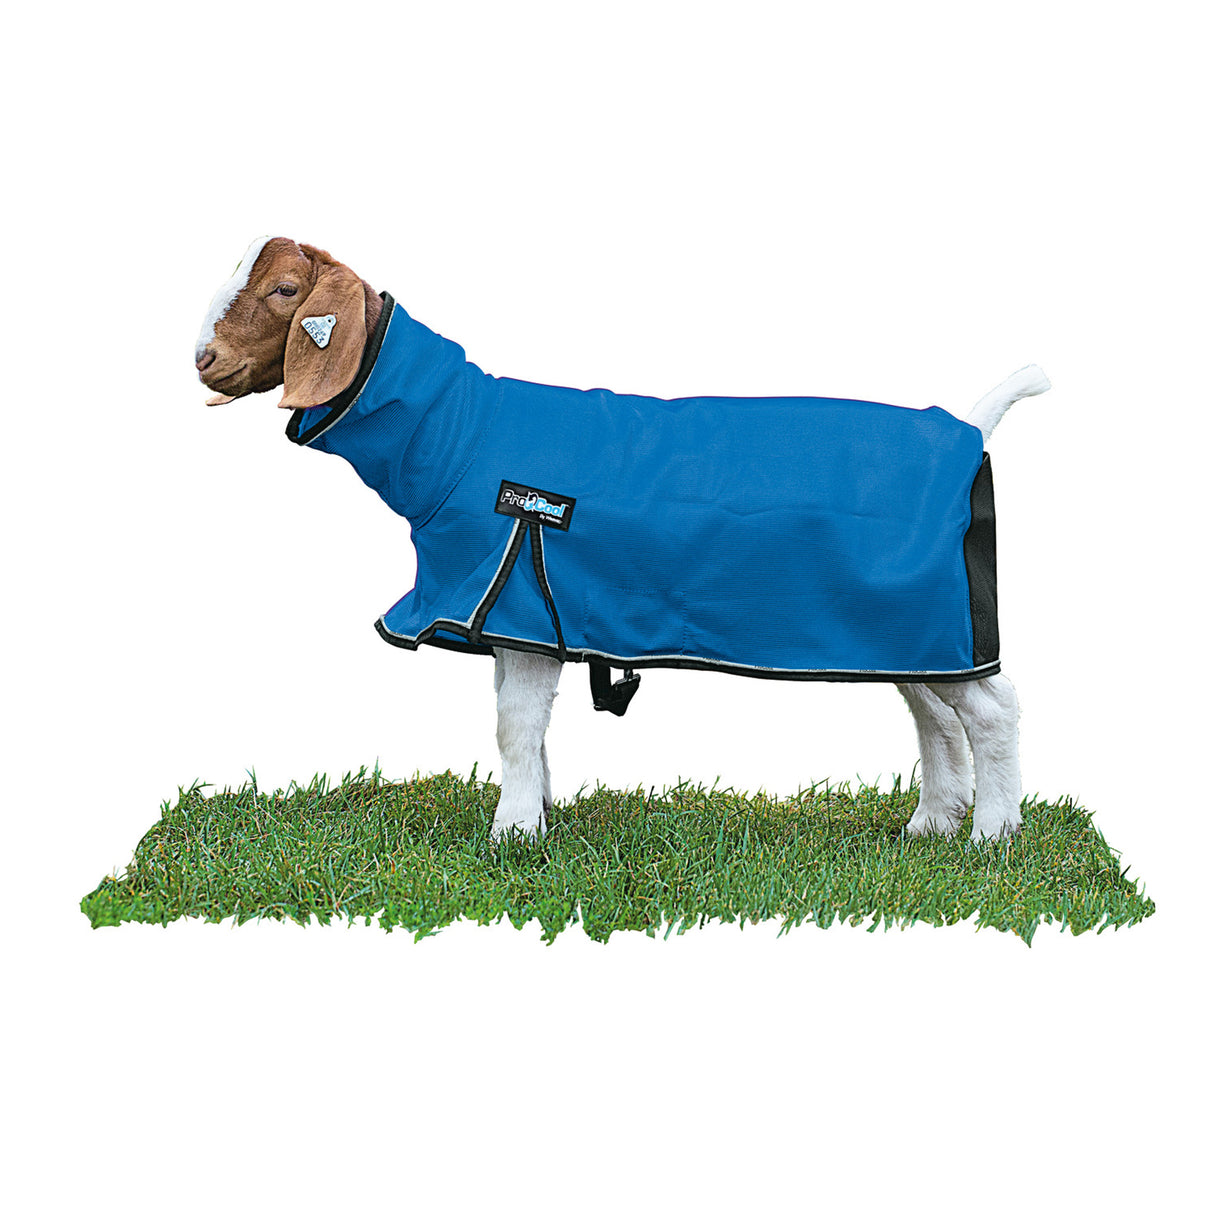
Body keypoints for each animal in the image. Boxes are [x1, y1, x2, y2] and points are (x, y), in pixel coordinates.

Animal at [196, 236, 1050, 842]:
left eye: (284, 290)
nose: (204, 358)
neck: (459, 435)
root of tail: (970, 426)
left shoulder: (516, 593)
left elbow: (514, 726)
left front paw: (511, 834)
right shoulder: (516, 619)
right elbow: (529, 729)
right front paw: (538, 817)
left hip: (936, 618)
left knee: (994, 709)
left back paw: (994, 834)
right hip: (909, 628)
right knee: (935, 713)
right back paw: (932, 823)